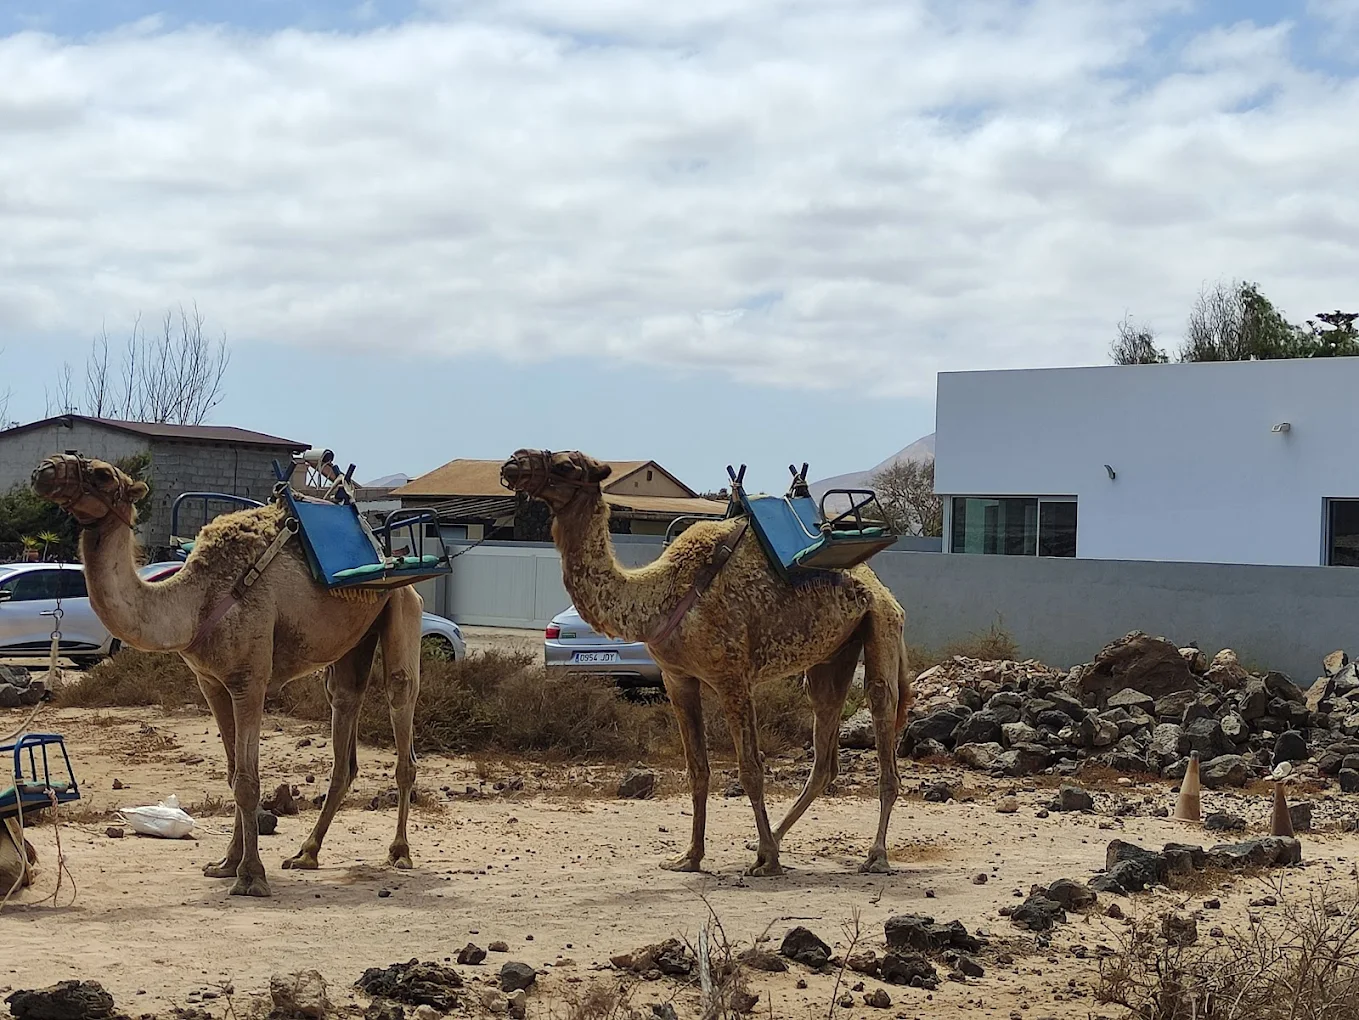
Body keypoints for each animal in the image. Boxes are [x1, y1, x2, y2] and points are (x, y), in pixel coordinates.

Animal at [30, 454, 422, 897]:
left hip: (402, 606)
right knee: (344, 714)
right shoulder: (212, 683)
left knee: (400, 702)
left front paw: (251, 876)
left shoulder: (249, 679)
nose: (46, 469)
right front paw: (225, 864)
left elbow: (248, 781)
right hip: (354, 640)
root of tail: (389, 550)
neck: (195, 602)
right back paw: (306, 854)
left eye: (100, 475)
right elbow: (234, 774)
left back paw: (399, 852)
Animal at [500, 449, 913, 876]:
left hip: (880, 624)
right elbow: (697, 769)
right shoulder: (677, 678)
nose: (513, 461)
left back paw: (874, 855)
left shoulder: (732, 677)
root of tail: (881, 589)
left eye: (566, 465)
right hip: (832, 654)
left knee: (881, 708)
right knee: (825, 743)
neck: (659, 596)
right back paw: (773, 838)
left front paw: (766, 861)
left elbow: (751, 769)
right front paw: (690, 856)